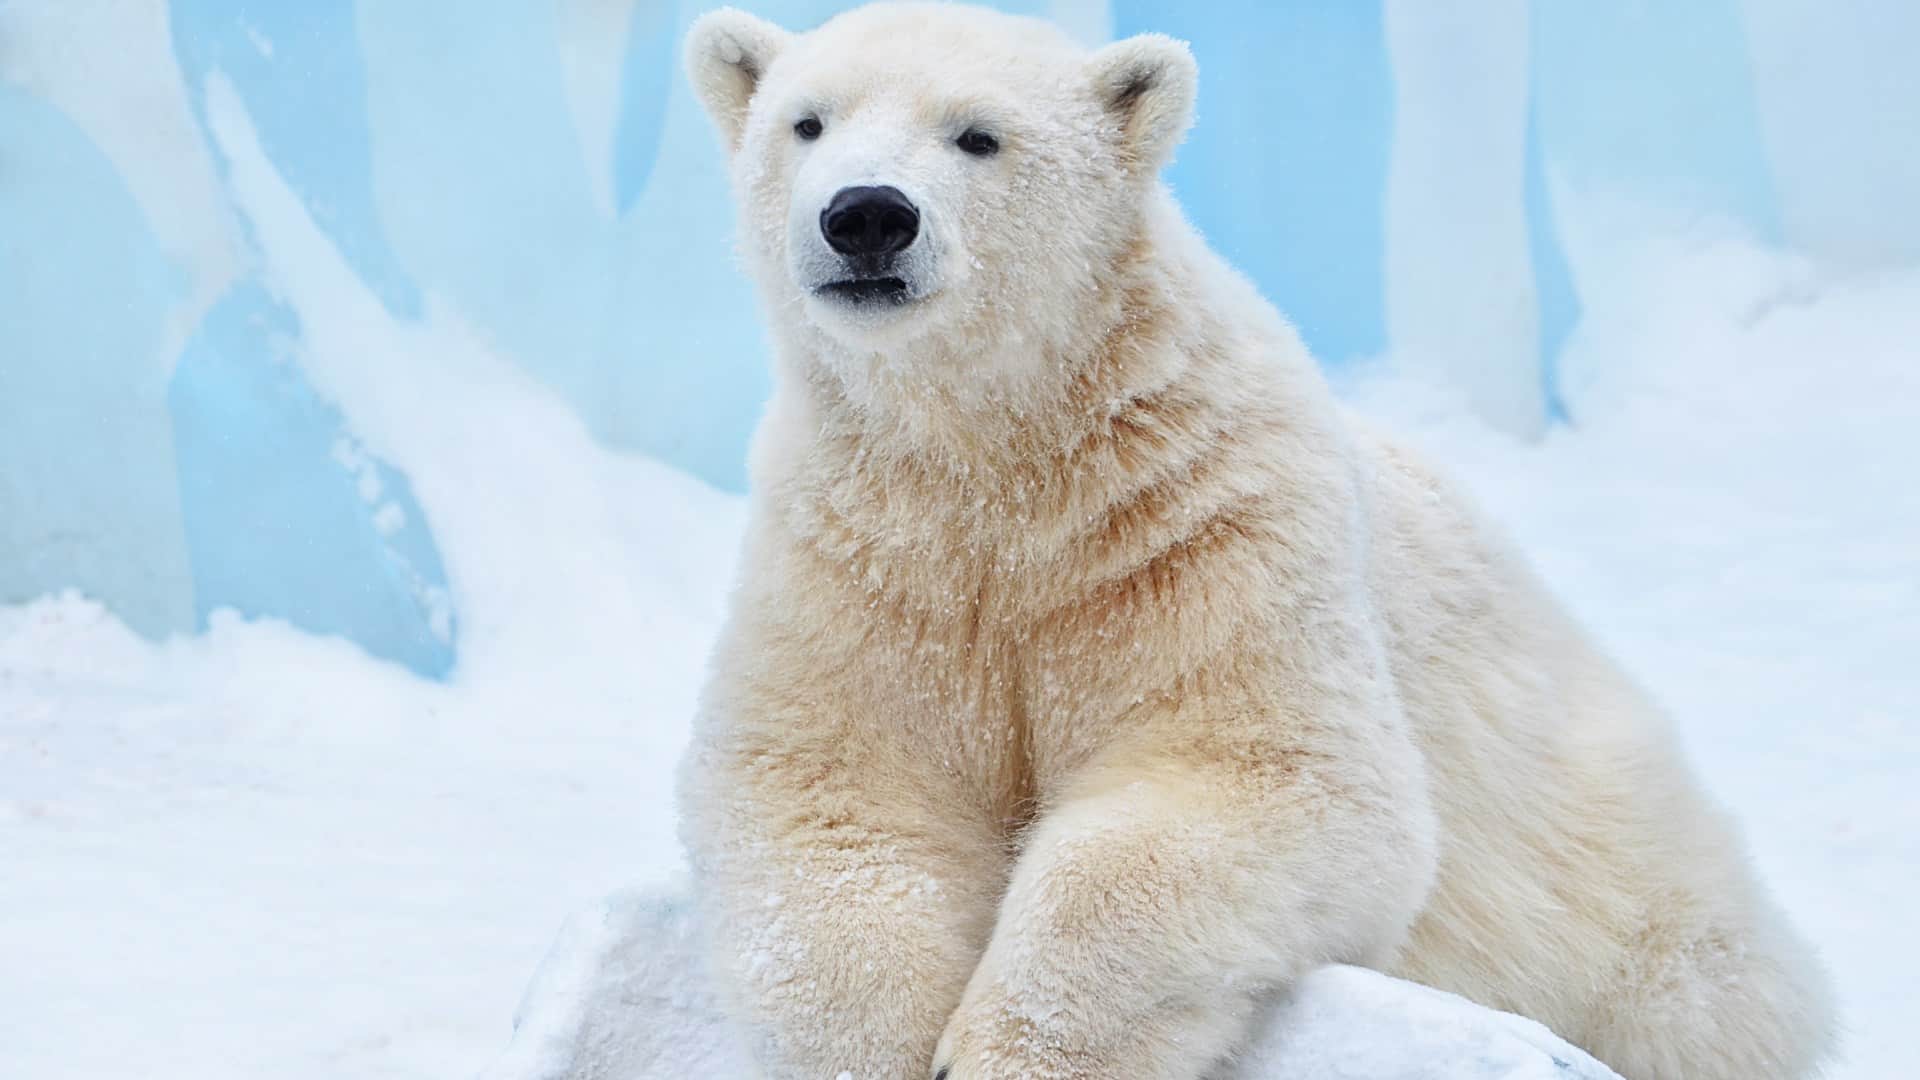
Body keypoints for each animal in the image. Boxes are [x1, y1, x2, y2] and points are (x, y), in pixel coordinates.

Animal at [676, 4, 1836, 1078]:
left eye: (978, 135)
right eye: (807, 121)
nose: (867, 215)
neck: (1005, 463)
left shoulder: (1199, 531)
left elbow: (1257, 778)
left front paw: (1009, 1051)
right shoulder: (871, 563)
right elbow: (834, 803)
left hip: (1634, 876)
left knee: (1696, 996)